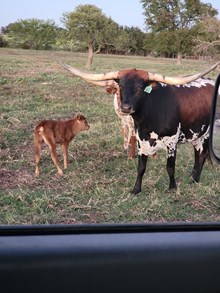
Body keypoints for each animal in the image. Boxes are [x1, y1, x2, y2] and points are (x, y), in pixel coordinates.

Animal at [57, 60, 219, 193]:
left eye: (140, 87)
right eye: (121, 85)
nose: (125, 107)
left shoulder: (172, 142)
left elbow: (170, 167)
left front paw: (172, 188)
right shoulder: (142, 140)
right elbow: (141, 167)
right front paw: (136, 189)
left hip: (206, 134)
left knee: (202, 155)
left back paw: (195, 180)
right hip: (197, 135)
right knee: (198, 154)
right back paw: (193, 178)